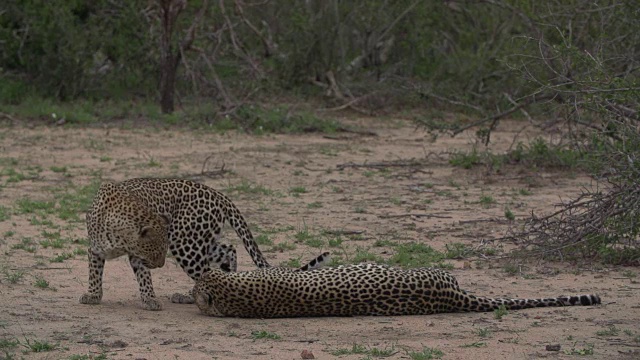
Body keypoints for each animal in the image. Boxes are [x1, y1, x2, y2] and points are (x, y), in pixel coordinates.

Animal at [80, 177, 280, 310]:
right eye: (155, 252)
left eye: (161, 251)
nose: (160, 266)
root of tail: (217, 193)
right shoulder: (95, 250)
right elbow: (95, 273)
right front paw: (93, 295)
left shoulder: (137, 255)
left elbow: (144, 277)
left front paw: (150, 299)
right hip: (200, 242)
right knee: (229, 250)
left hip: (186, 245)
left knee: (206, 273)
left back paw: (190, 296)